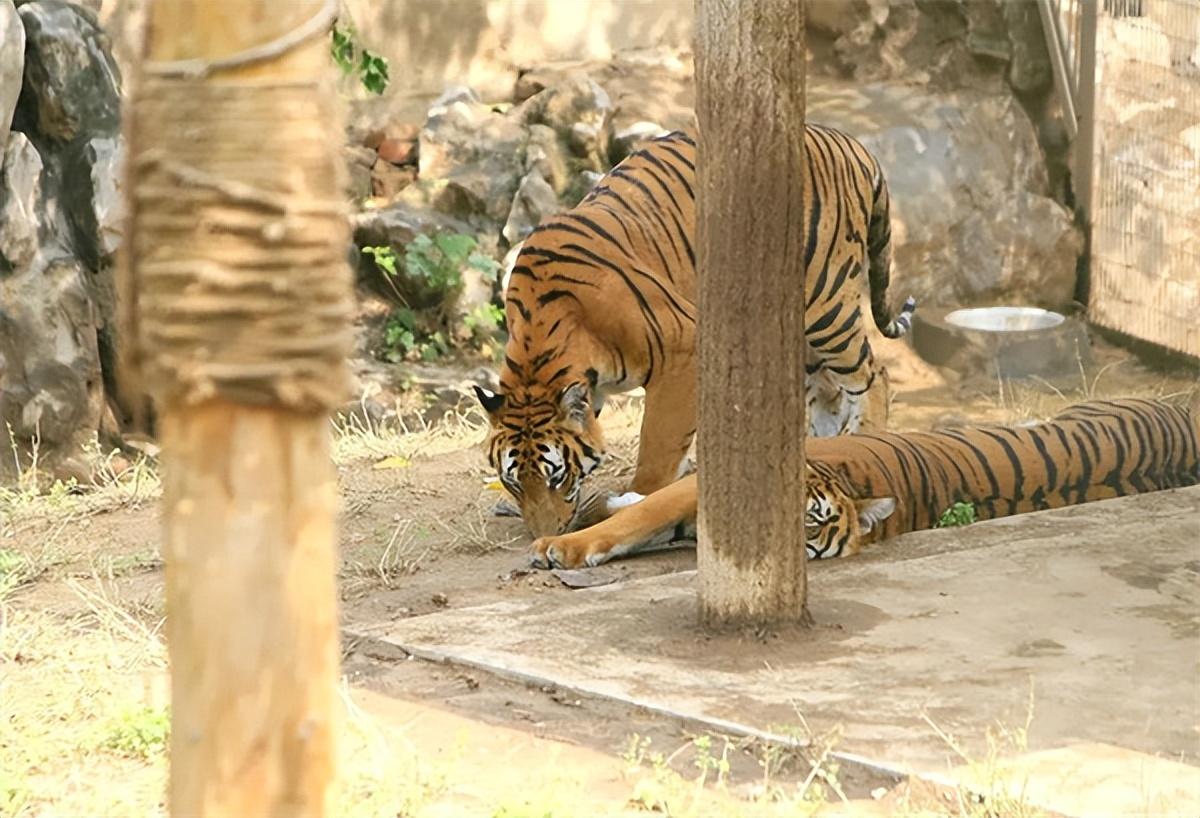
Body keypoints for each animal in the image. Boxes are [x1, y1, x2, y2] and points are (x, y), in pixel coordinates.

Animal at [472, 125, 912, 534]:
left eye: (557, 477)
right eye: (513, 482)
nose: (544, 533)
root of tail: (848, 141)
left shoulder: (682, 353)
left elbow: (658, 450)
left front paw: (638, 501)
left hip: (825, 302)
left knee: (874, 375)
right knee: (828, 396)